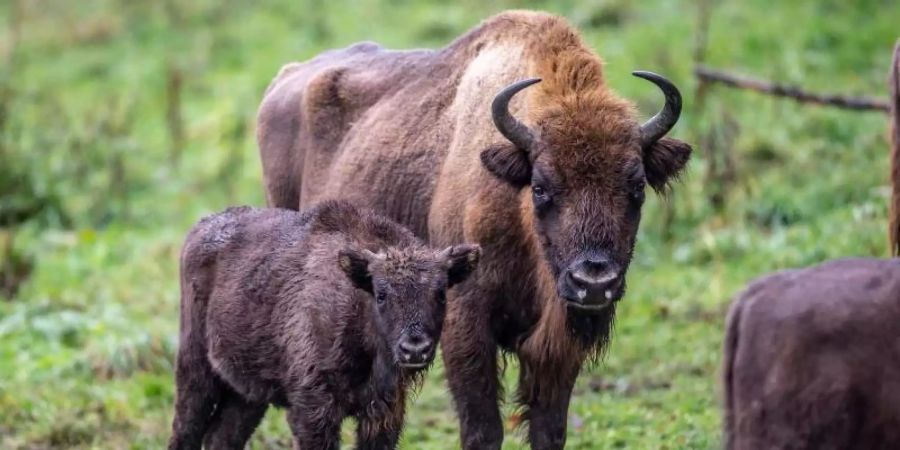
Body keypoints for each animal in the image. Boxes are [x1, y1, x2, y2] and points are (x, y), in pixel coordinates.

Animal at [166, 201, 482, 450]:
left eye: (441, 293)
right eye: (381, 294)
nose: (414, 349)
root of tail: (200, 228)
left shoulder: (383, 414)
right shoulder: (313, 412)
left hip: (247, 394)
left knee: (221, 436)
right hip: (195, 371)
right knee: (185, 431)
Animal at [256, 11, 692, 450]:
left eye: (637, 187)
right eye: (540, 187)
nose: (594, 281)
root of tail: (284, 81)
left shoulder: (556, 347)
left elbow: (549, 428)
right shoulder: (465, 326)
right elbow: (482, 427)